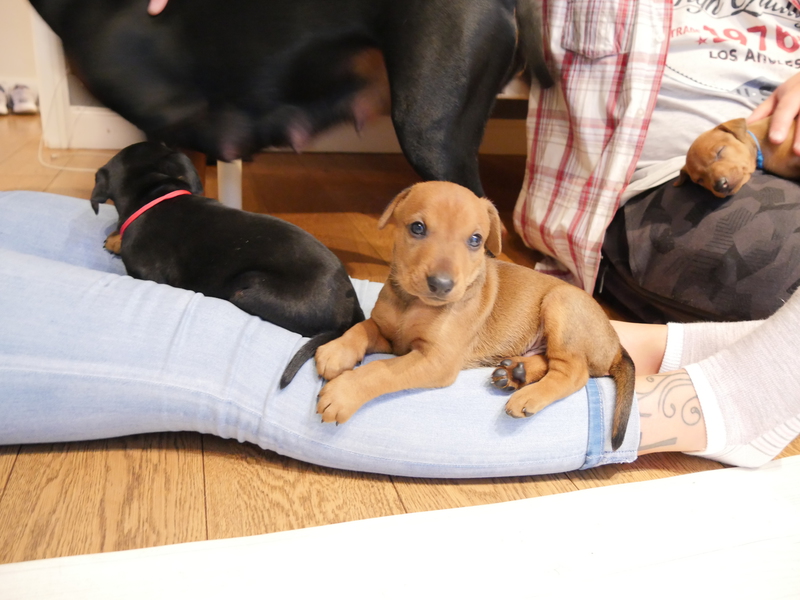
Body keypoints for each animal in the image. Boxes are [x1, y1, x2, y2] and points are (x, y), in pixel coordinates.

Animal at [312, 182, 635, 450]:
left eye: (476, 240)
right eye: (417, 228)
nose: (441, 285)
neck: (412, 304)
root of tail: (615, 344)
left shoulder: (436, 359)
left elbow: (379, 370)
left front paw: (343, 393)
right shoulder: (390, 337)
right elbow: (363, 327)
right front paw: (336, 350)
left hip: (561, 303)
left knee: (573, 372)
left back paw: (528, 395)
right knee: (549, 361)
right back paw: (516, 373)